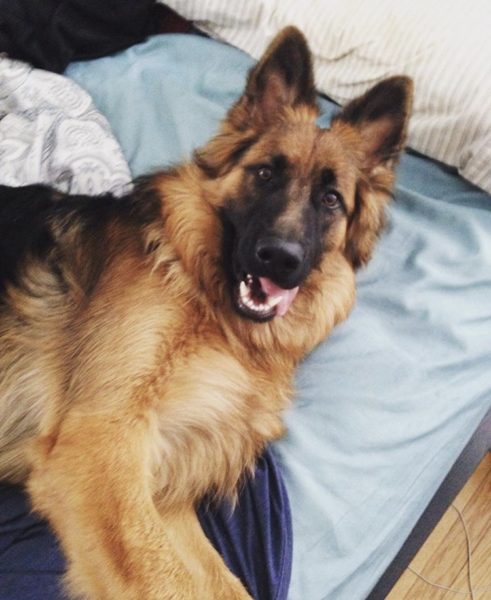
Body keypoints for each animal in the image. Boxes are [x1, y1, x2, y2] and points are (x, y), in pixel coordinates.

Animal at [0, 27, 412, 600]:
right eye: (264, 173)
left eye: (331, 199)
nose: (279, 259)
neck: (208, 306)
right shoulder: (100, 445)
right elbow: (163, 580)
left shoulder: (163, 494)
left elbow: (221, 583)